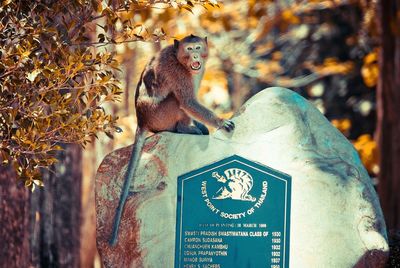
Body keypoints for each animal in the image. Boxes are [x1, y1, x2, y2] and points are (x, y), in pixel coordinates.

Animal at [109, 34, 234, 246]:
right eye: (189, 49)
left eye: (197, 47)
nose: (195, 55)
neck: (179, 59)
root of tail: (141, 120)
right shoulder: (178, 73)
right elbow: (188, 102)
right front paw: (220, 122)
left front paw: (203, 125)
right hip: (160, 115)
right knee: (176, 99)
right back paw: (184, 129)